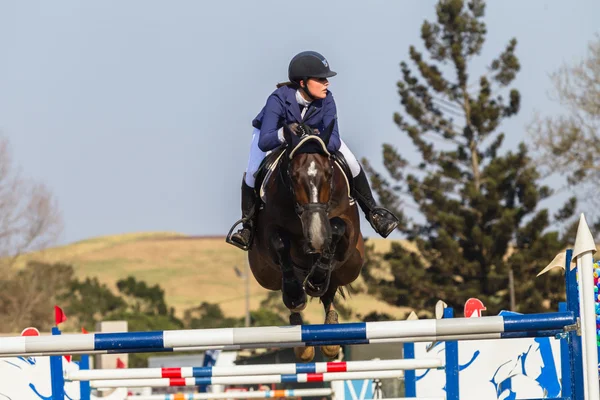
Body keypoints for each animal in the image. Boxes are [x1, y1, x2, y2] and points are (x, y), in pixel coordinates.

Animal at [245, 122, 366, 362]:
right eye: (293, 176)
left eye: (329, 174)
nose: (317, 236)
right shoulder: (269, 233)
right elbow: (280, 243)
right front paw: (295, 294)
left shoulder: (346, 229)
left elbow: (337, 229)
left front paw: (316, 279)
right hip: (265, 274)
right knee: (289, 293)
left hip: (350, 267)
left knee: (330, 289)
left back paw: (330, 337)